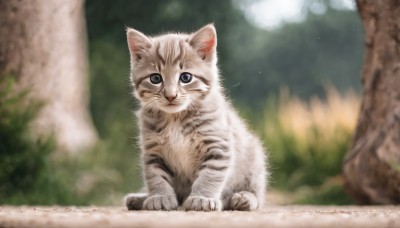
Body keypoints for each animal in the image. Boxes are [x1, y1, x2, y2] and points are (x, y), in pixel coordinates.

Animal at [124, 24, 268, 211]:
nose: (170, 95)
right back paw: (140, 199)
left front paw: (202, 198)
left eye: (186, 77)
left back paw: (244, 198)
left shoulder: (217, 146)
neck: (176, 118)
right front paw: (160, 197)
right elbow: (155, 176)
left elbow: (210, 175)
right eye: (155, 78)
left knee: (257, 192)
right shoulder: (153, 151)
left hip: (255, 158)